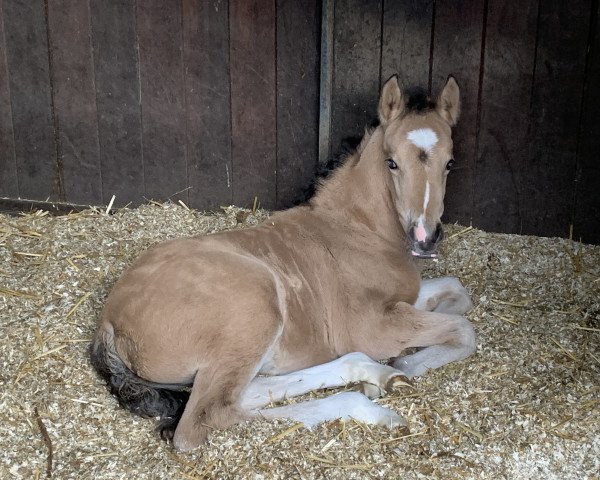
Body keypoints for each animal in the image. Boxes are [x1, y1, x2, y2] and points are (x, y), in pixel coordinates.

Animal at [90, 74, 474, 450]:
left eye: (450, 163)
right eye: (391, 162)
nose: (425, 238)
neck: (358, 230)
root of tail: (109, 320)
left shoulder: (405, 300)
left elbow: (457, 292)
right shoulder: (372, 327)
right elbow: (464, 329)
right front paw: (408, 361)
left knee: (249, 391)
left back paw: (376, 375)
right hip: (254, 308)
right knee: (205, 420)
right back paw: (371, 400)